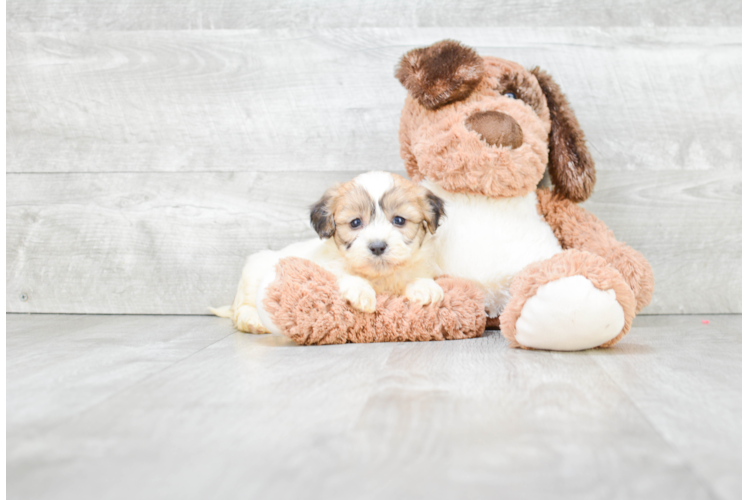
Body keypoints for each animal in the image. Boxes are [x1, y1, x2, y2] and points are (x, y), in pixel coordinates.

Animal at [212, 170, 444, 334]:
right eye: (355, 222)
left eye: (399, 220)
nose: (377, 246)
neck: (379, 276)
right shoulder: (325, 269)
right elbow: (344, 276)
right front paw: (361, 292)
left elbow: (414, 277)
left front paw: (425, 287)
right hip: (253, 275)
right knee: (242, 308)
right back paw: (252, 321)